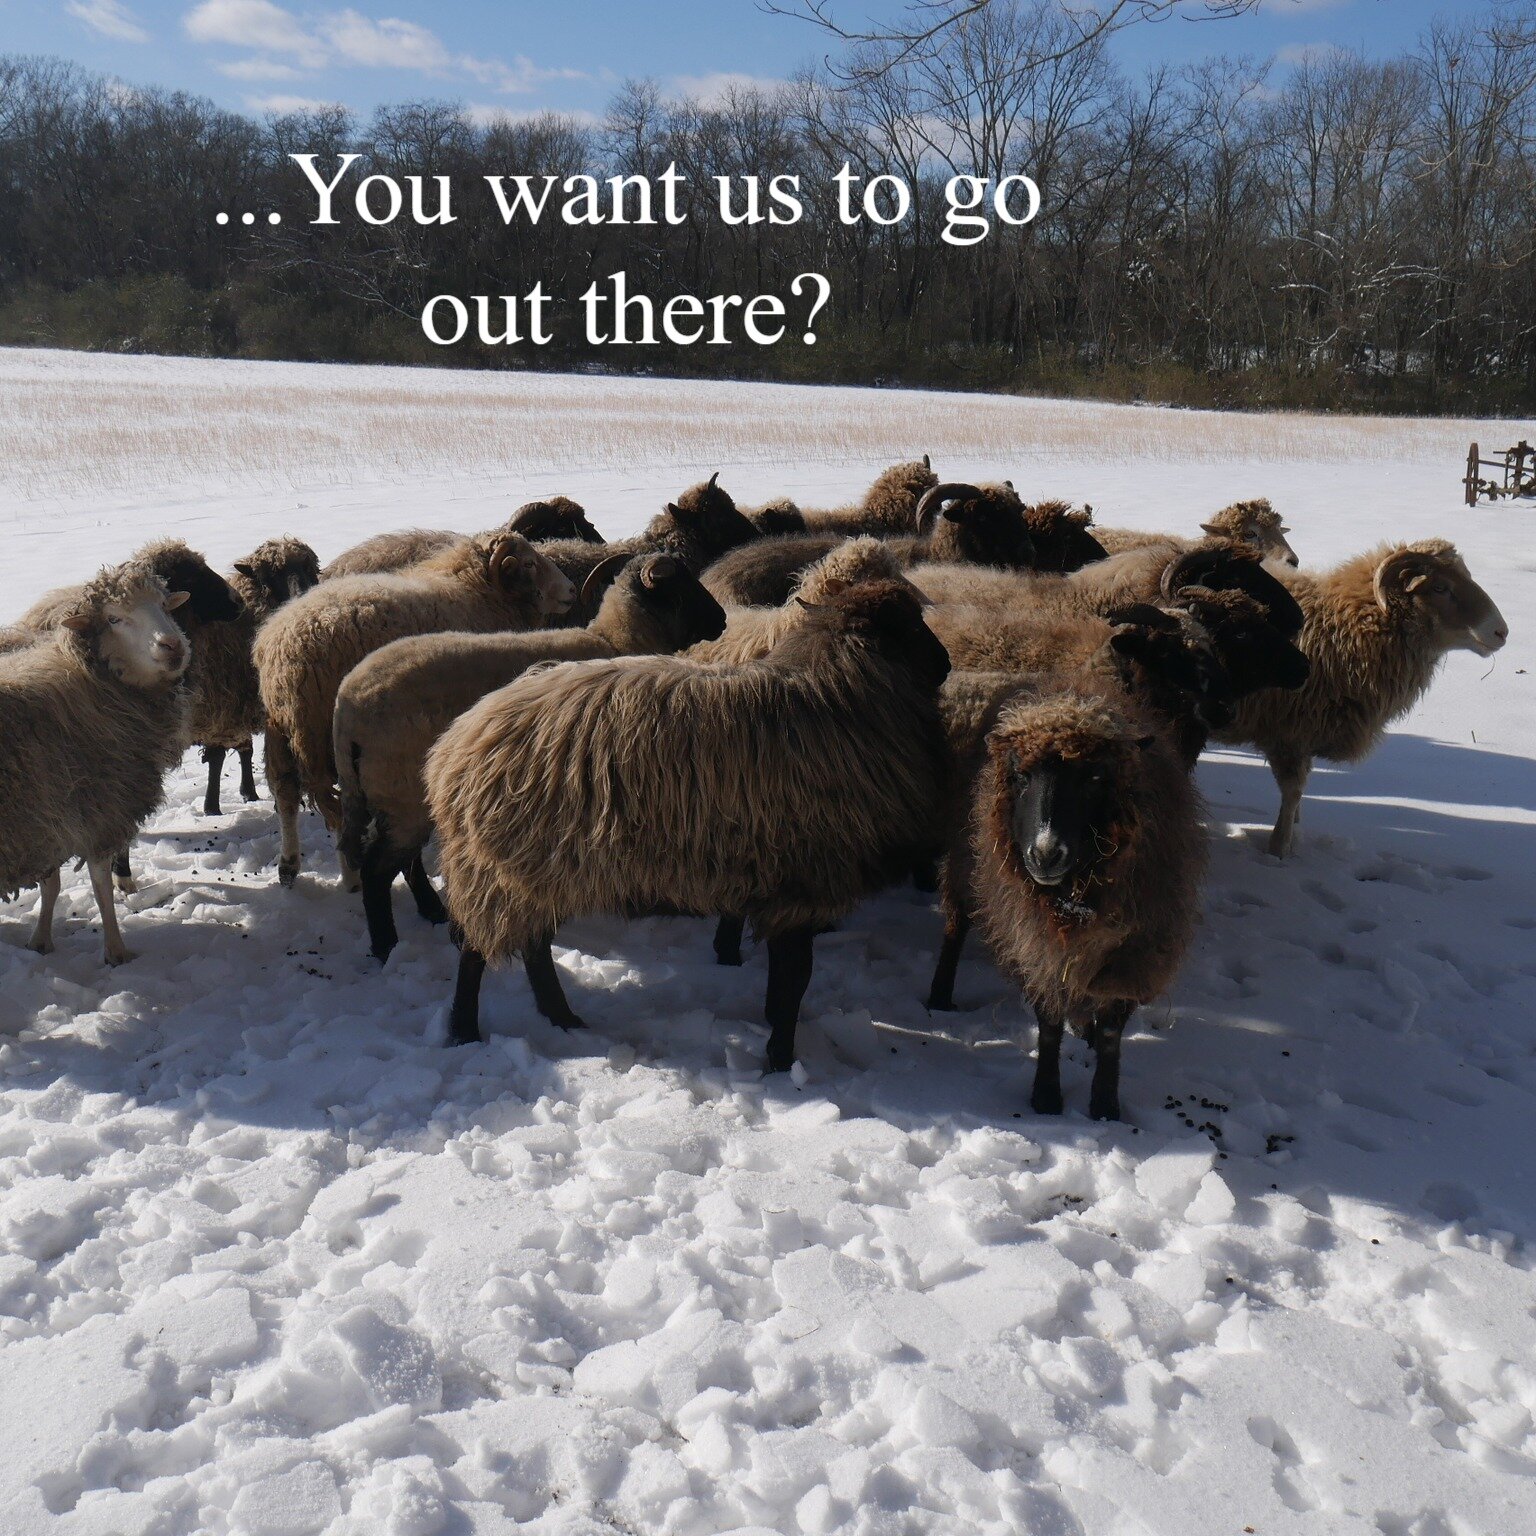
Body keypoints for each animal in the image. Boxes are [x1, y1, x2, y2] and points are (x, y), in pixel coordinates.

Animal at [187, 537, 322, 823]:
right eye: (268, 576)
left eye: (310, 569)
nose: (302, 596)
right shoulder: (222, 710)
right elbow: (217, 757)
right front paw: (211, 807)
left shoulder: (245, 706)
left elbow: (245, 749)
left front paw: (248, 792)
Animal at [333, 552, 728, 958]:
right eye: (680, 585)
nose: (723, 621)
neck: (616, 640)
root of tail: (347, 708)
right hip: (402, 793)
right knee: (377, 869)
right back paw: (386, 946)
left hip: (397, 794)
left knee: (405, 862)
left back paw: (432, 912)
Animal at [1216, 540, 1505, 860]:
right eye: (1440, 587)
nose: (1501, 631)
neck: (1339, 628)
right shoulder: (1289, 733)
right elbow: (1293, 792)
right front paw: (1279, 849)